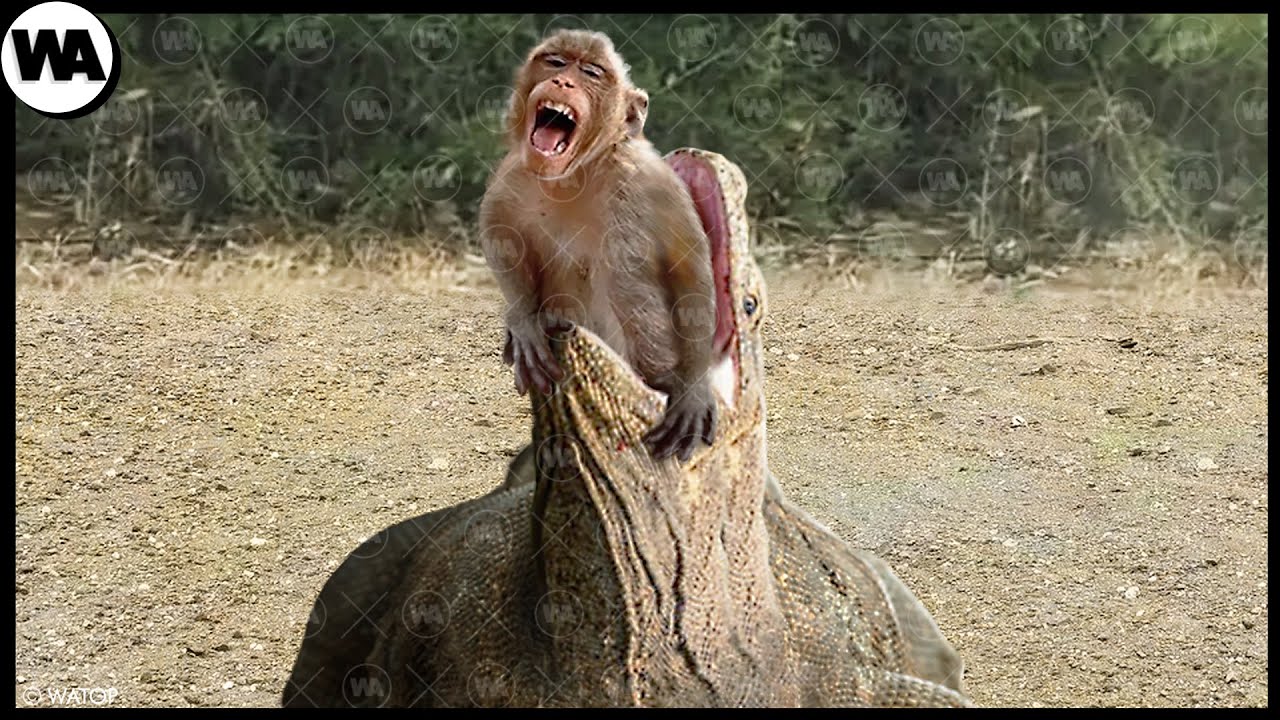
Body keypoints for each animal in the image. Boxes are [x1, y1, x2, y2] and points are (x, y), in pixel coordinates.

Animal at [479, 29, 717, 463]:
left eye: (591, 72)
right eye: (555, 62)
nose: (563, 82)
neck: (575, 174)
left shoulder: (649, 180)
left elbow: (689, 267)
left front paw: (693, 389)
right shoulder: (514, 172)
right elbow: (497, 229)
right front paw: (522, 321)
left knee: (624, 274)